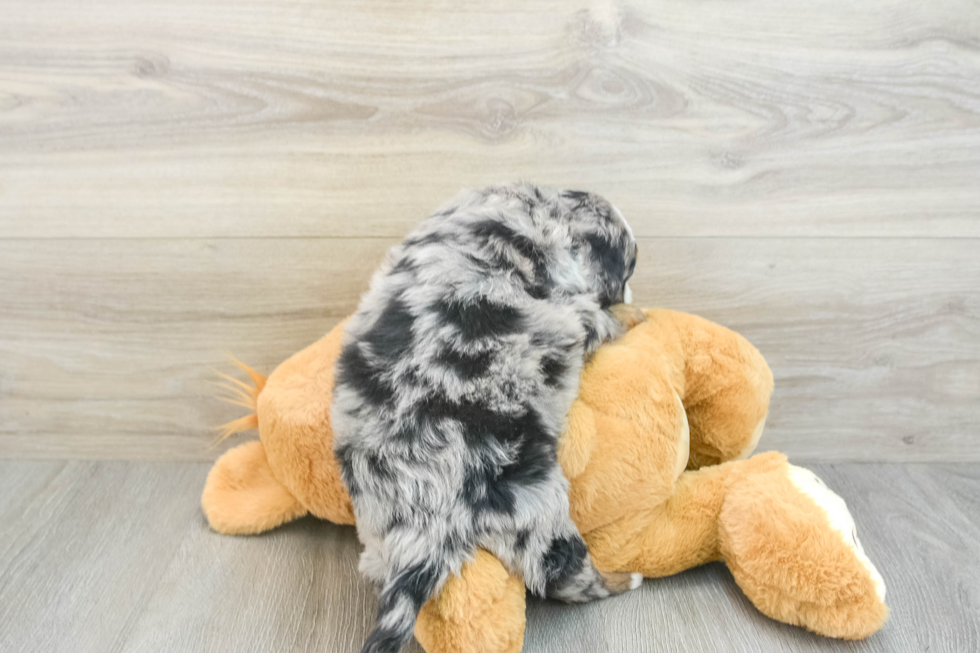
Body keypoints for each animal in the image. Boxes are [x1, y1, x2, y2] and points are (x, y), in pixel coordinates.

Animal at [334, 182, 648, 652]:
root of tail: (426, 514)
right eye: (626, 269)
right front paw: (632, 314)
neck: (545, 212)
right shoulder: (577, 310)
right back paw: (625, 578)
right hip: (537, 510)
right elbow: (601, 320)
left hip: (379, 544)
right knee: (565, 577)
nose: (630, 292)